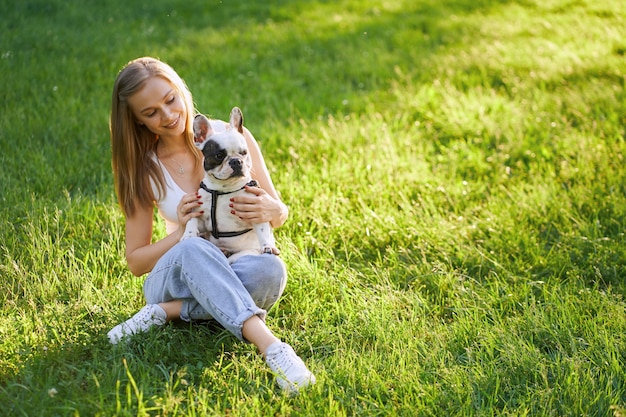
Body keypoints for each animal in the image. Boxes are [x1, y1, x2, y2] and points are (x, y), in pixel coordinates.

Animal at [182, 107, 276, 264]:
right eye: (219, 155)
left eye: (244, 153)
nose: (236, 161)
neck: (223, 189)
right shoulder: (200, 216)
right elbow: (191, 221)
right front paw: (188, 235)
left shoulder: (256, 212)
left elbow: (263, 232)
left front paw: (267, 247)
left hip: (244, 253)